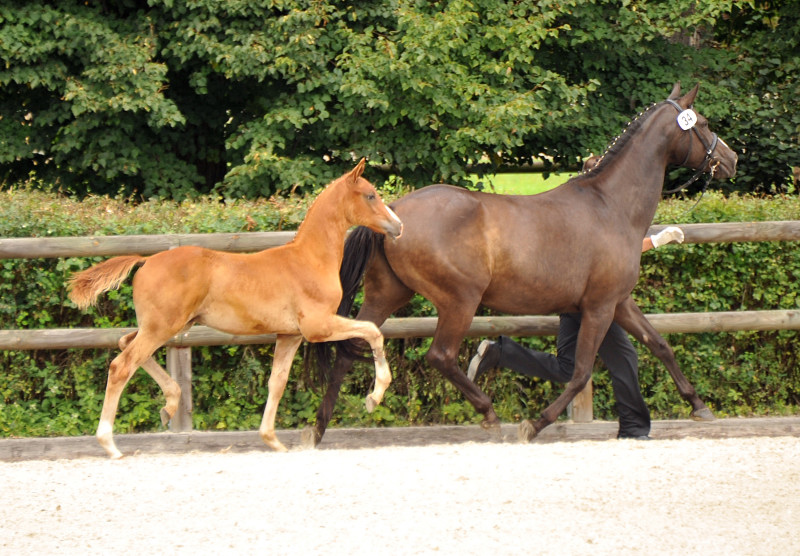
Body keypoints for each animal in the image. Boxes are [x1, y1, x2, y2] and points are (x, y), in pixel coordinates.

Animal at [66, 159, 404, 458]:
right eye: (370, 194)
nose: (398, 226)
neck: (310, 259)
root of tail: (146, 260)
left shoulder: (290, 335)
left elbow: (277, 382)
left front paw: (272, 440)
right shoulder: (318, 326)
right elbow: (373, 331)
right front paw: (374, 396)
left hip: (168, 325)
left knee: (126, 344)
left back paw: (169, 405)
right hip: (163, 327)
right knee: (121, 366)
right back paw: (110, 444)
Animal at [306, 83, 736, 448]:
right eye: (704, 124)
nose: (731, 159)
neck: (611, 206)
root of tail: (392, 213)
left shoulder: (618, 302)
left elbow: (659, 345)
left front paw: (700, 407)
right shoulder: (599, 307)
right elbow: (581, 372)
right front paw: (535, 424)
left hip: (387, 293)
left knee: (348, 349)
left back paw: (318, 429)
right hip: (460, 300)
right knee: (440, 356)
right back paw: (489, 413)